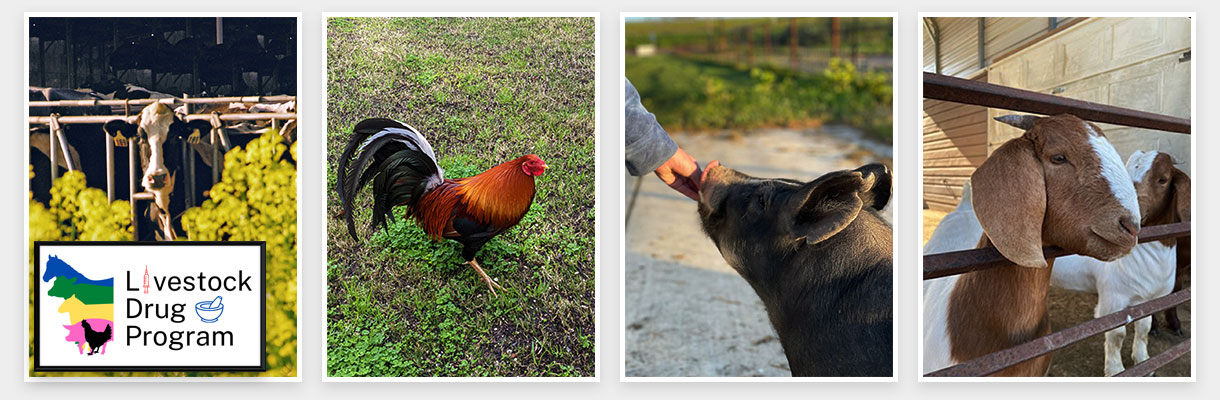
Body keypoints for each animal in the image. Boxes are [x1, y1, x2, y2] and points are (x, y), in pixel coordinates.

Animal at [1049, 149, 1190, 375]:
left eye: (1163, 179)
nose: (1129, 212)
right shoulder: (1113, 299)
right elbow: (1117, 336)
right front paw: (1115, 369)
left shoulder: (1147, 299)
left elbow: (1143, 329)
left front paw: (1143, 362)